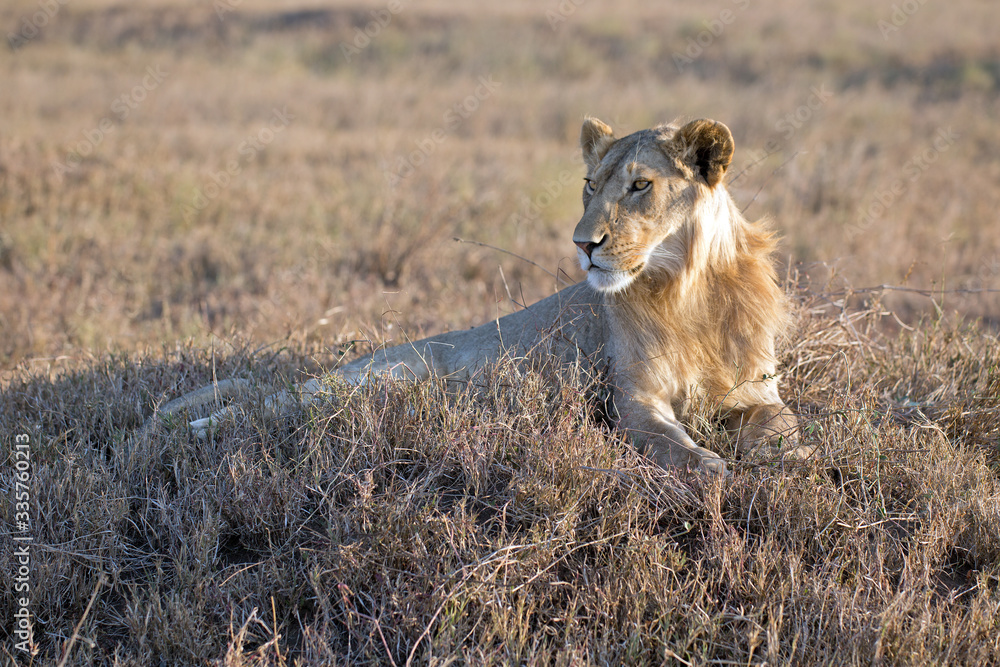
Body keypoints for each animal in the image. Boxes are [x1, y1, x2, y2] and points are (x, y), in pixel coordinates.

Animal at [158, 117, 802, 475]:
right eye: (590, 185)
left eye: (641, 185)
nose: (583, 244)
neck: (690, 290)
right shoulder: (634, 401)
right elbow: (674, 444)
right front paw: (711, 468)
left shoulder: (757, 390)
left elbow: (787, 424)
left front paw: (787, 459)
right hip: (373, 379)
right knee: (260, 406)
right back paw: (183, 433)